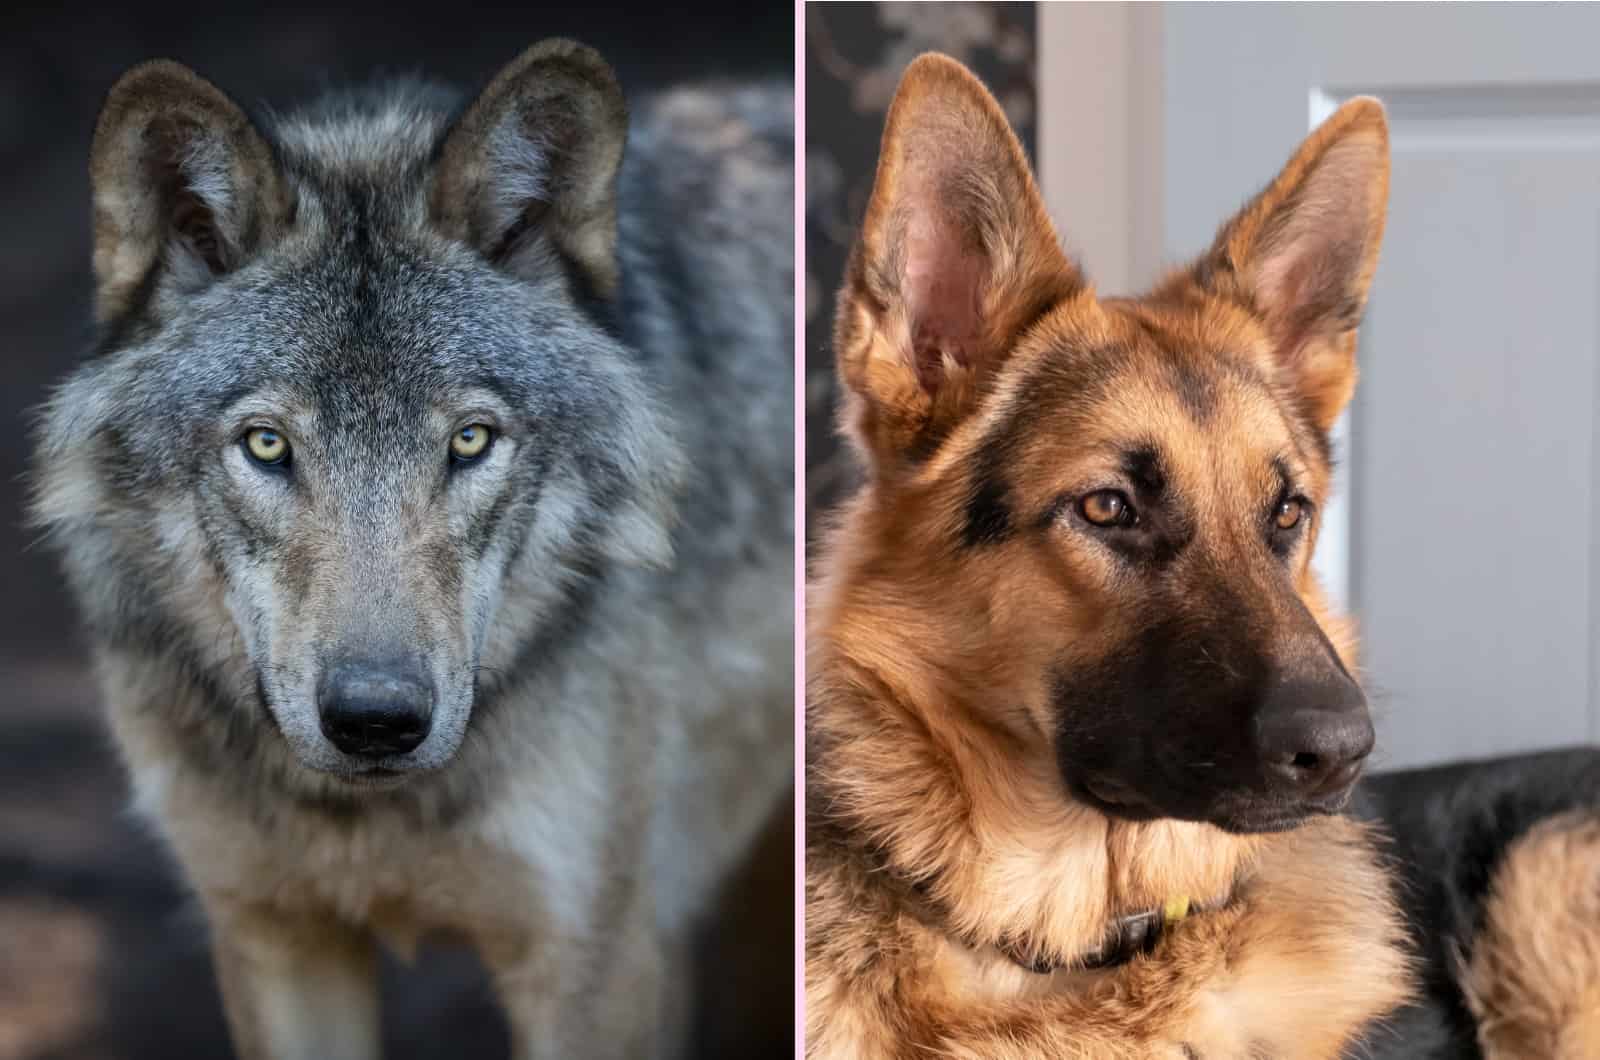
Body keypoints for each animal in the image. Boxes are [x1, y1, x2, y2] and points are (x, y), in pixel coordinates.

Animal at [31, 37, 793, 1056]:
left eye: (469, 440)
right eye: (266, 445)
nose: (376, 720)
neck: (365, 816)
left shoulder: (594, 967)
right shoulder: (277, 940)